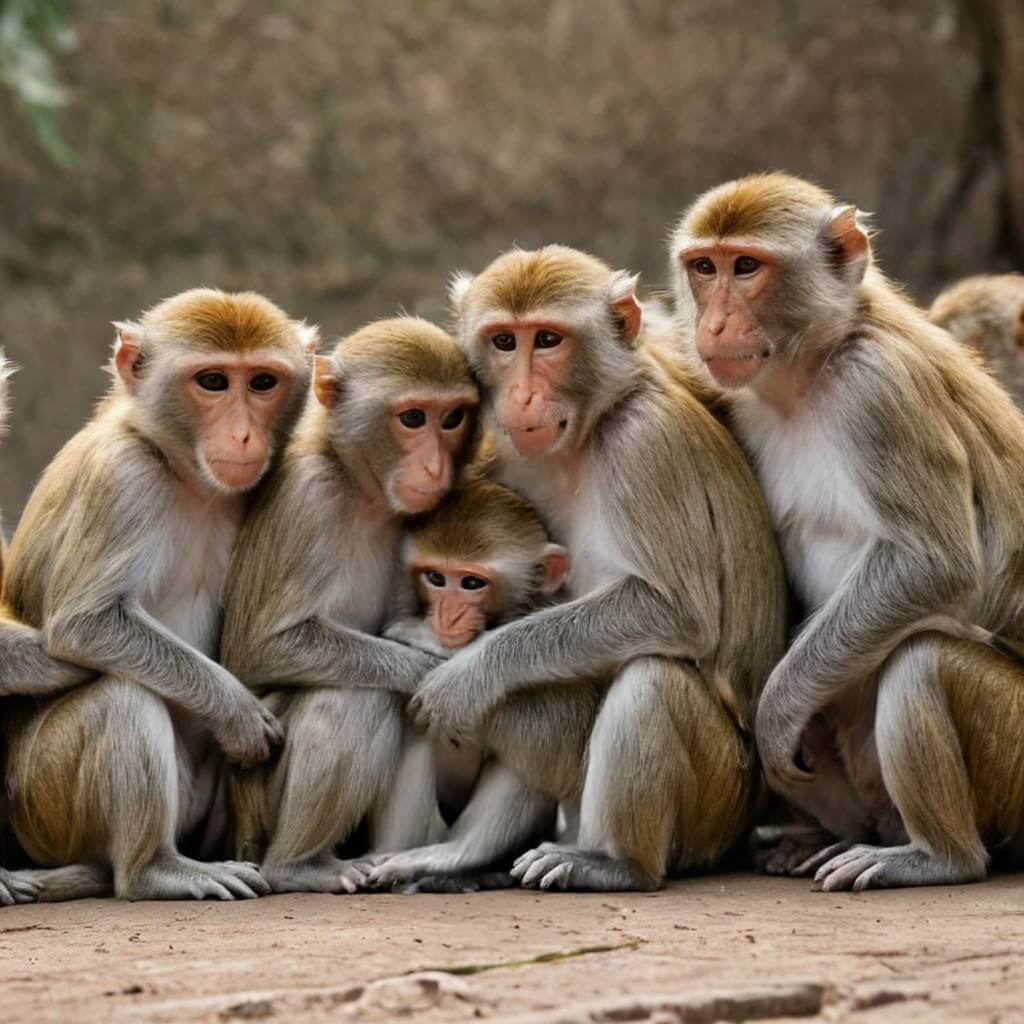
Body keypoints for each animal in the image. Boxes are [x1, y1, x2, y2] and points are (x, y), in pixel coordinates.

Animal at [1, 288, 316, 901]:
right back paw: (157, 868)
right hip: (43, 803)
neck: (184, 474)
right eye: (213, 381)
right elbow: (87, 625)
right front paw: (235, 709)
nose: (243, 435)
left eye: (262, 382)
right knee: (123, 696)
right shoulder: (125, 480)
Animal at [220, 316, 480, 894]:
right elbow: (258, 649)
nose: (436, 466)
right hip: (256, 804)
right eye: (413, 418)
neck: (361, 491)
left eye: (452, 418)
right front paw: (431, 672)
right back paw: (297, 866)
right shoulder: (309, 501)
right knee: (355, 694)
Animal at [402, 245, 788, 892]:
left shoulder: (644, 446)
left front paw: (470, 673)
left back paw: (615, 864)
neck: (583, 435)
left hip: (716, 802)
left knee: (651, 678)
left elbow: (677, 613)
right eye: (504, 341)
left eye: (548, 340)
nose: (521, 396)